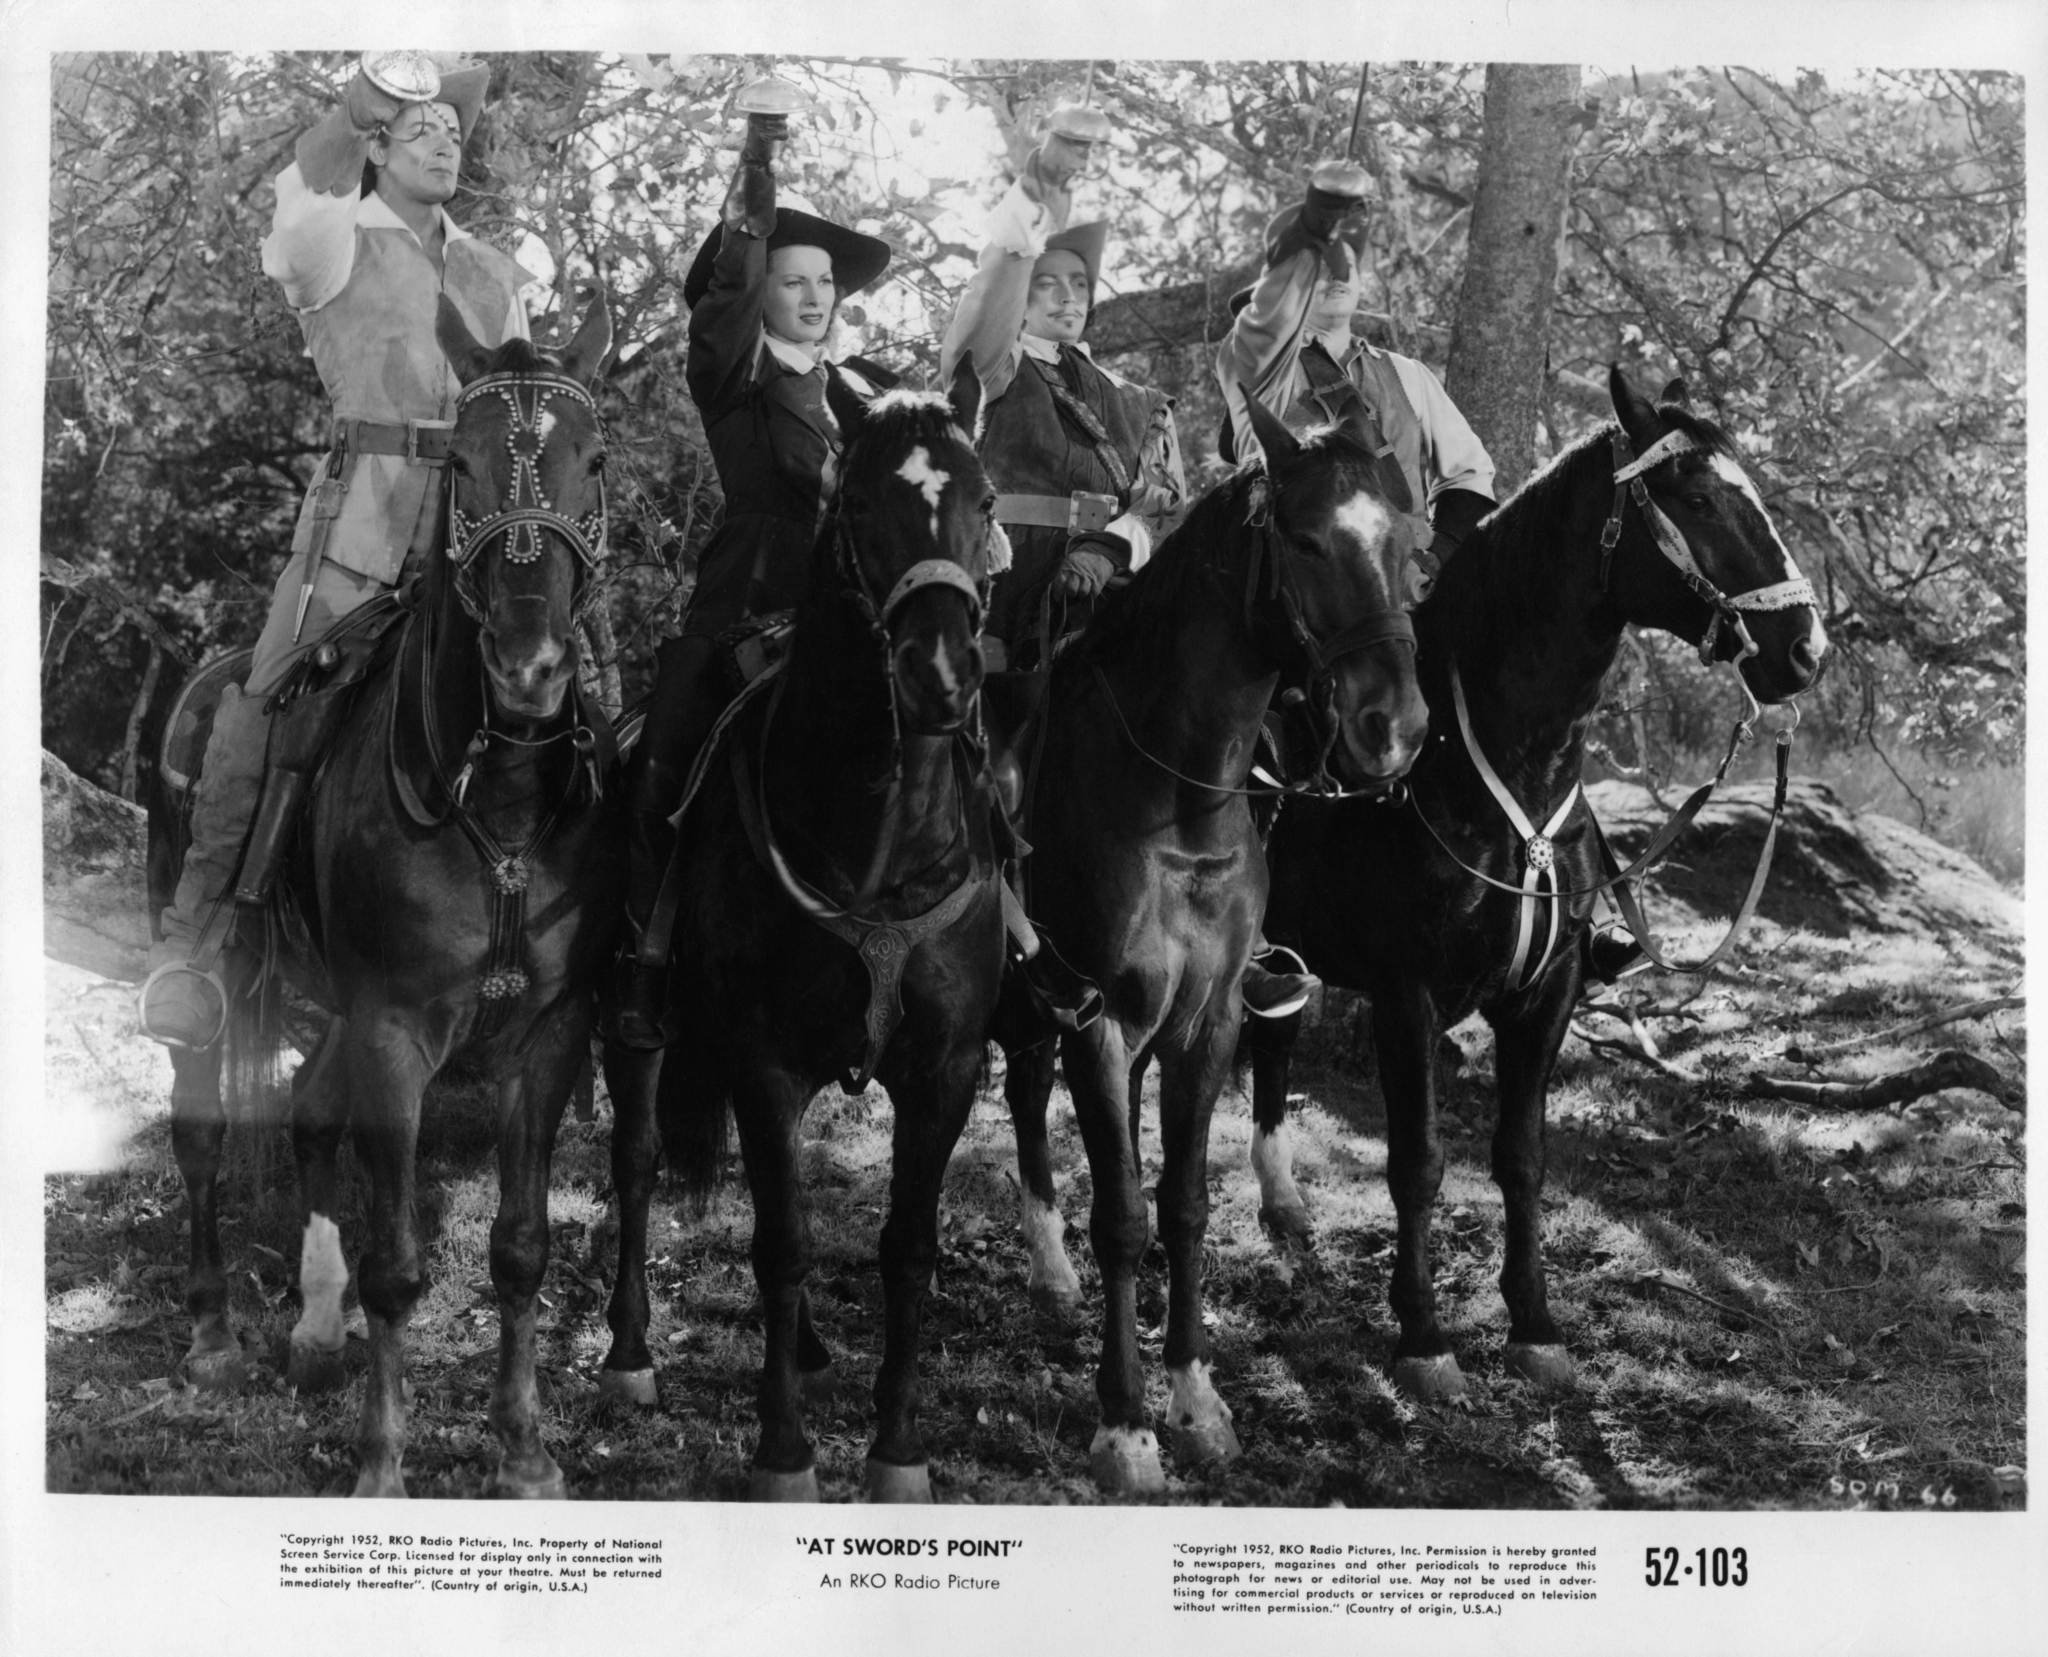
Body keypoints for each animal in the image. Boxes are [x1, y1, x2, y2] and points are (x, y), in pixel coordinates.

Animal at [151, 296, 614, 1499]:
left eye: (591, 459)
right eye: (460, 464)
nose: (531, 666)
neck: (495, 798)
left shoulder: (544, 1037)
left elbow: (520, 1250)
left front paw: (524, 1450)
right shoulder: (394, 1031)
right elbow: (399, 1264)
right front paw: (381, 1464)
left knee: (309, 1109)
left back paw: (317, 1328)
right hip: (222, 960)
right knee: (203, 1126)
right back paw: (214, 1332)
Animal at [598, 385, 1003, 1499]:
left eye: (986, 497)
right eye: (858, 503)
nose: (939, 672)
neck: (877, 839)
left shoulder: (944, 1069)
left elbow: (905, 1247)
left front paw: (895, 1449)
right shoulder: (765, 1059)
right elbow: (780, 1244)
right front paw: (783, 1453)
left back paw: (815, 1350)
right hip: (633, 1031)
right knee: (638, 1158)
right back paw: (630, 1353)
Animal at [999, 395, 1433, 1491]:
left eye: (1409, 545)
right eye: (1307, 539)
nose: (1396, 728)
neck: (1177, 797)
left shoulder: (1207, 1020)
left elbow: (1185, 1201)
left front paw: (1194, 1399)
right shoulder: (1100, 1020)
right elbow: (1120, 1210)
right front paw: (1122, 1426)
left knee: (1021, 1090)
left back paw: (1049, 1268)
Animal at [1236, 364, 1835, 1392]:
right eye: (1700, 498)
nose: (1805, 648)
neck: (1490, 755)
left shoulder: (1545, 994)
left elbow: (1520, 1155)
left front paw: (1535, 1321)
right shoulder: (1407, 995)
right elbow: (1417, 1162)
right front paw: (1423, 1334)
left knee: (1269, 1046)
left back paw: (1282, 1206)